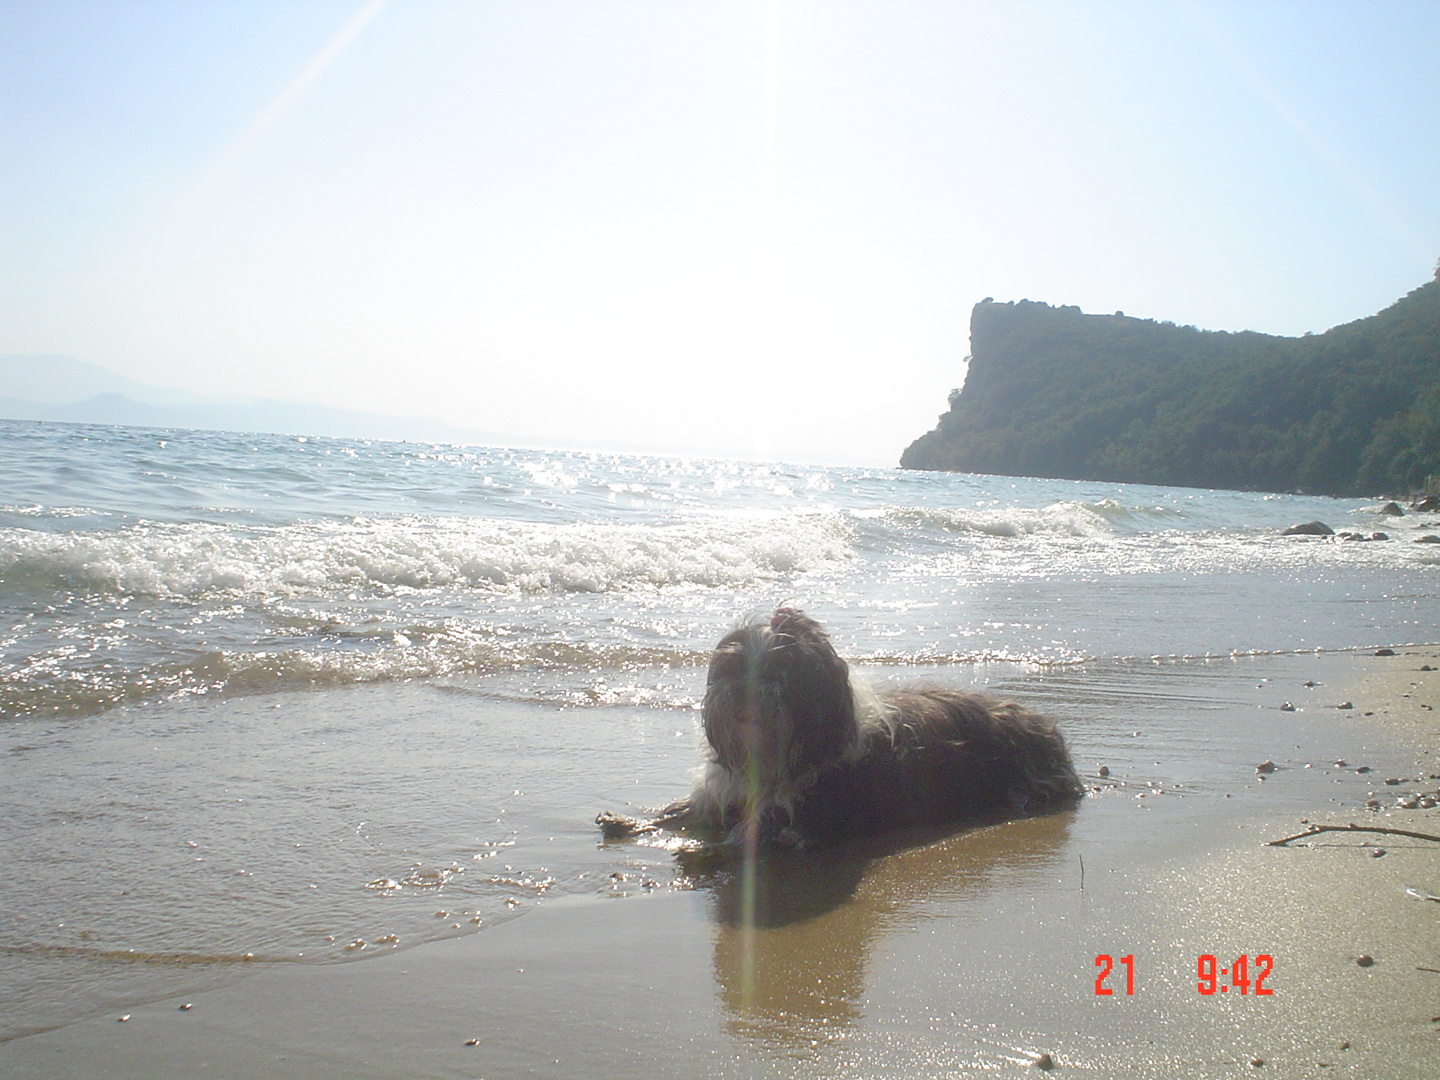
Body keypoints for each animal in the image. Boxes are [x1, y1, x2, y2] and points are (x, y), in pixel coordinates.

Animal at [596, 610, 1082, 852]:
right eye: (733, 667)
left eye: (780, 672)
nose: (744, 691)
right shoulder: (724, 792)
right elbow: (679, 811)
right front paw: (627, 822)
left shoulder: (803, 816)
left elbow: (745, 837)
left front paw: (695, 849)